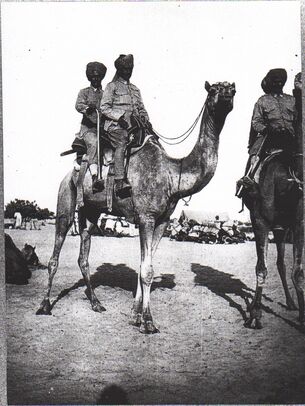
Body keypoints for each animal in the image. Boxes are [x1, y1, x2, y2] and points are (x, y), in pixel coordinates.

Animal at [36, 80, 235, 334]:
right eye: (213, 90)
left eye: (232, 88)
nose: (228, 93)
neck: (172, 174)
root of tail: (70, 172)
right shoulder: (146, 217)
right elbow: (147, 270)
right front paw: (148, 322)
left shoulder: (161, 221)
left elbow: (144, 266)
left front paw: (134, 315)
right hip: (65, 202)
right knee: (55, 254)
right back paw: (44, 306)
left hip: (91, 212)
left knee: (84, 253)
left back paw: (96, 303)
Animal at [241, 86, 302, 330]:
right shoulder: (260, 222)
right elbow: (261, 268)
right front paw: (256, 314)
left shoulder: (298, 223)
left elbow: (297, 270)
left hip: (281, 228)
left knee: (281, 264)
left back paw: (291, 303)